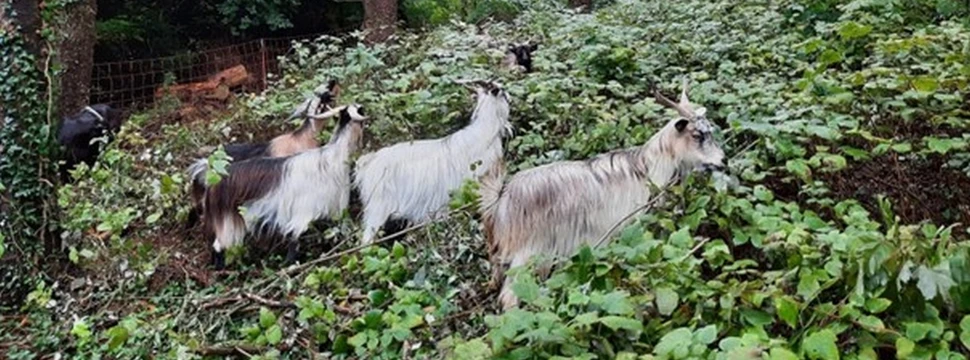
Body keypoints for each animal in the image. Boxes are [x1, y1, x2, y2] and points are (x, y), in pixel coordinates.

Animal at [204, 104, 366, 268]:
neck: (333, 157)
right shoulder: (305, 212)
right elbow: (294, 242)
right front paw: (290, 265)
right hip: (229, 218)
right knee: (220, 244)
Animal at [480, 81, 724, 310]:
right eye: (697, 135)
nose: (723, 161)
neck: (649, 169)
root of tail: (501, 200)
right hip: (528, 254)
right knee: (509, 297)